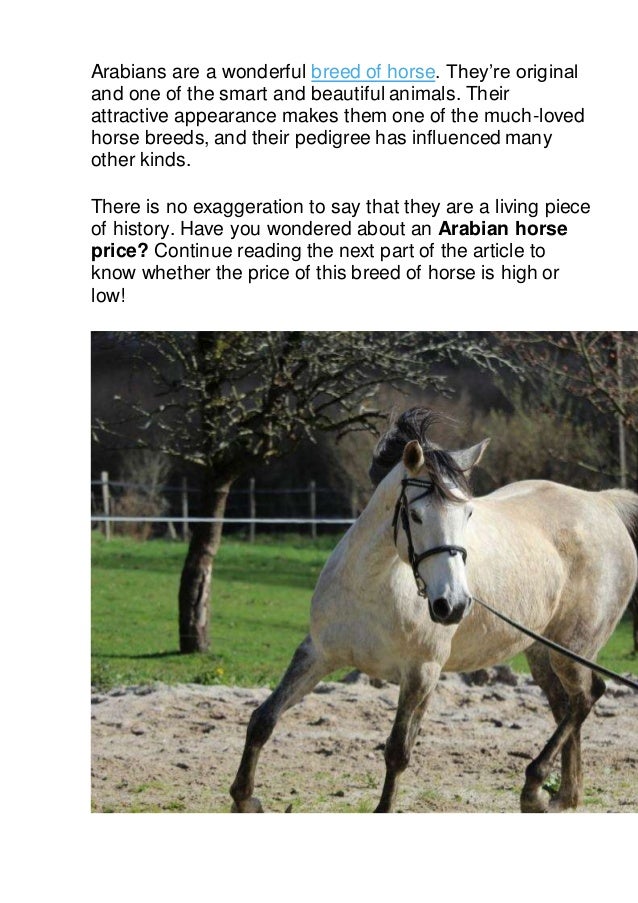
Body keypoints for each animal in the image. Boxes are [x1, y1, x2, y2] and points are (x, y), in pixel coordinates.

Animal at [230, 407, 638, 813]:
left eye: (468, 514)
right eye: (415, 514)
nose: (452, 605)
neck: (371, 589)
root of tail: (602, 504)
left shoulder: (422, 673)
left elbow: (398, 752)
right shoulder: (317, 653)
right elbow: (263, 718)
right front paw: (244, 799)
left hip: (571, 649)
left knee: (585, 697)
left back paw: (534, 786)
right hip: (542, 651)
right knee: (566, 704)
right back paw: (562, 797)